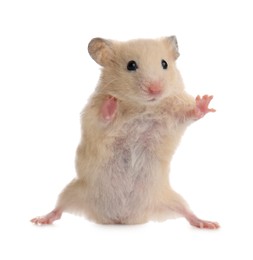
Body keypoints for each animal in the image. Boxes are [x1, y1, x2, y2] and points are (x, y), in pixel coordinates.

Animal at [30, 35, 219, 229]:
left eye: (164, 64)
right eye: (131, 65)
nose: (155, 89)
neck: (143, 107)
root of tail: (123, 219)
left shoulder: (174, 115)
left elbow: (189, 114)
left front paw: (204, 101)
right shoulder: (94, 117)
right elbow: (104, 117)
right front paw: (112, 103)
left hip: (169, 197)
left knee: (187, 212)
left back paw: (208, 224)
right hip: (74, 190)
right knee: (59, 208)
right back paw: (40, 219)